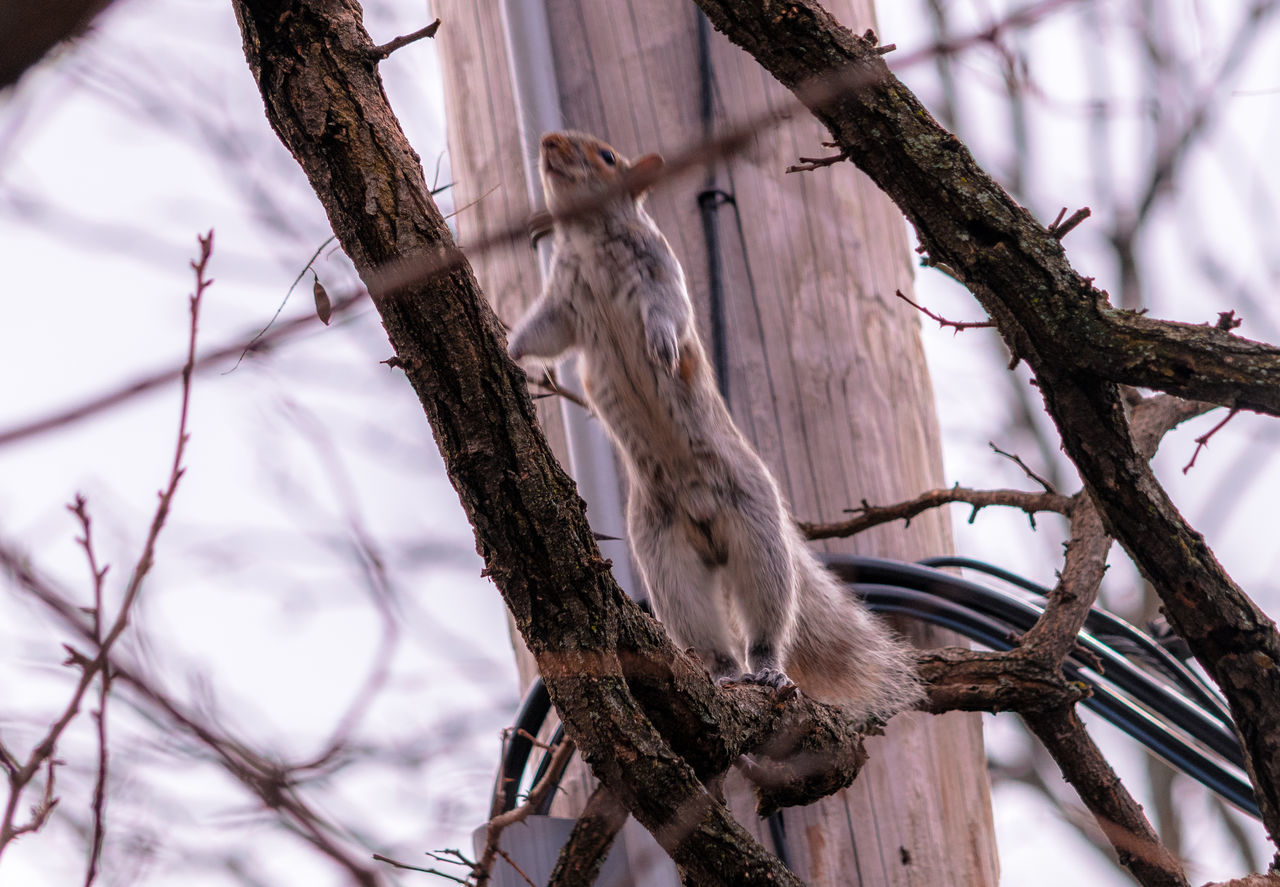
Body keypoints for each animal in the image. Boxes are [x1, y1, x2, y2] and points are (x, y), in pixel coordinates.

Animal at [506, 131, 921, 721]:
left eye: (607, 156)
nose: (547, 141)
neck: (589, 240)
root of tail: (706, 528)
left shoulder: (660, 274)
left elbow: (668, 314)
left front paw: (661, 347)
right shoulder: (564, 302)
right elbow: (542, 332)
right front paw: (508, 348)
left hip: (756, 533)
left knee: (766, 623)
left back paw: (767, 669)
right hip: (668, 563)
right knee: (711, 639)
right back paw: (724, 674)